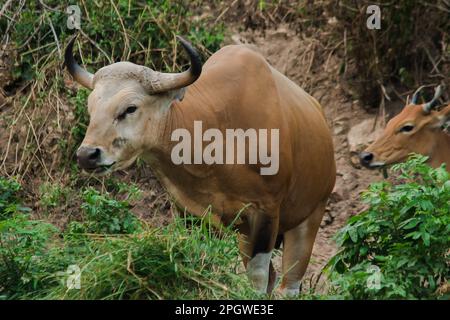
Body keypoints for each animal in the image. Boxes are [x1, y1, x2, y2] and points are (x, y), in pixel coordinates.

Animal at [65, 35, 336, 296]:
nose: (87, 155)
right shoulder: (191, 215)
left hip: (309, 218)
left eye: (130, 108)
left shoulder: (266, 212)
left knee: (289, 284)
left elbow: (257, 279)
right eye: (91, 108)